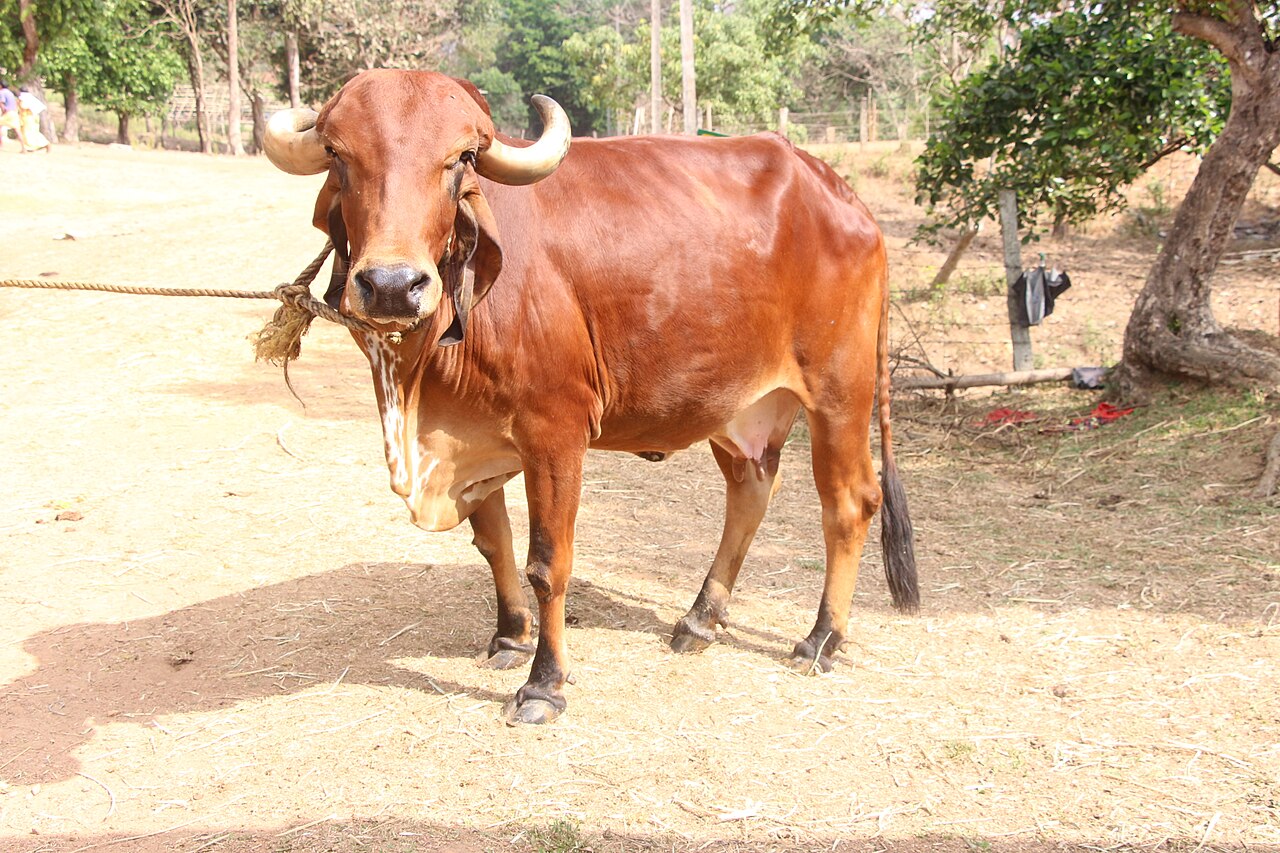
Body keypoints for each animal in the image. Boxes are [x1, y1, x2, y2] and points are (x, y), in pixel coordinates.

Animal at [262, 69, 917, 725]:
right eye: (338, 155)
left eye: (460, 159)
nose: (393, 286)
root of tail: (841, 194)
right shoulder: (474, 437)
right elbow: (494, 543)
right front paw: (509, 637)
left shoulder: (555, 434)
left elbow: (547, 563)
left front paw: (544, 683)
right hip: (740, 409)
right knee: (751, 493)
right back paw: (699, 620)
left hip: (839, 394)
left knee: (850, 502)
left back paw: (821, 639)